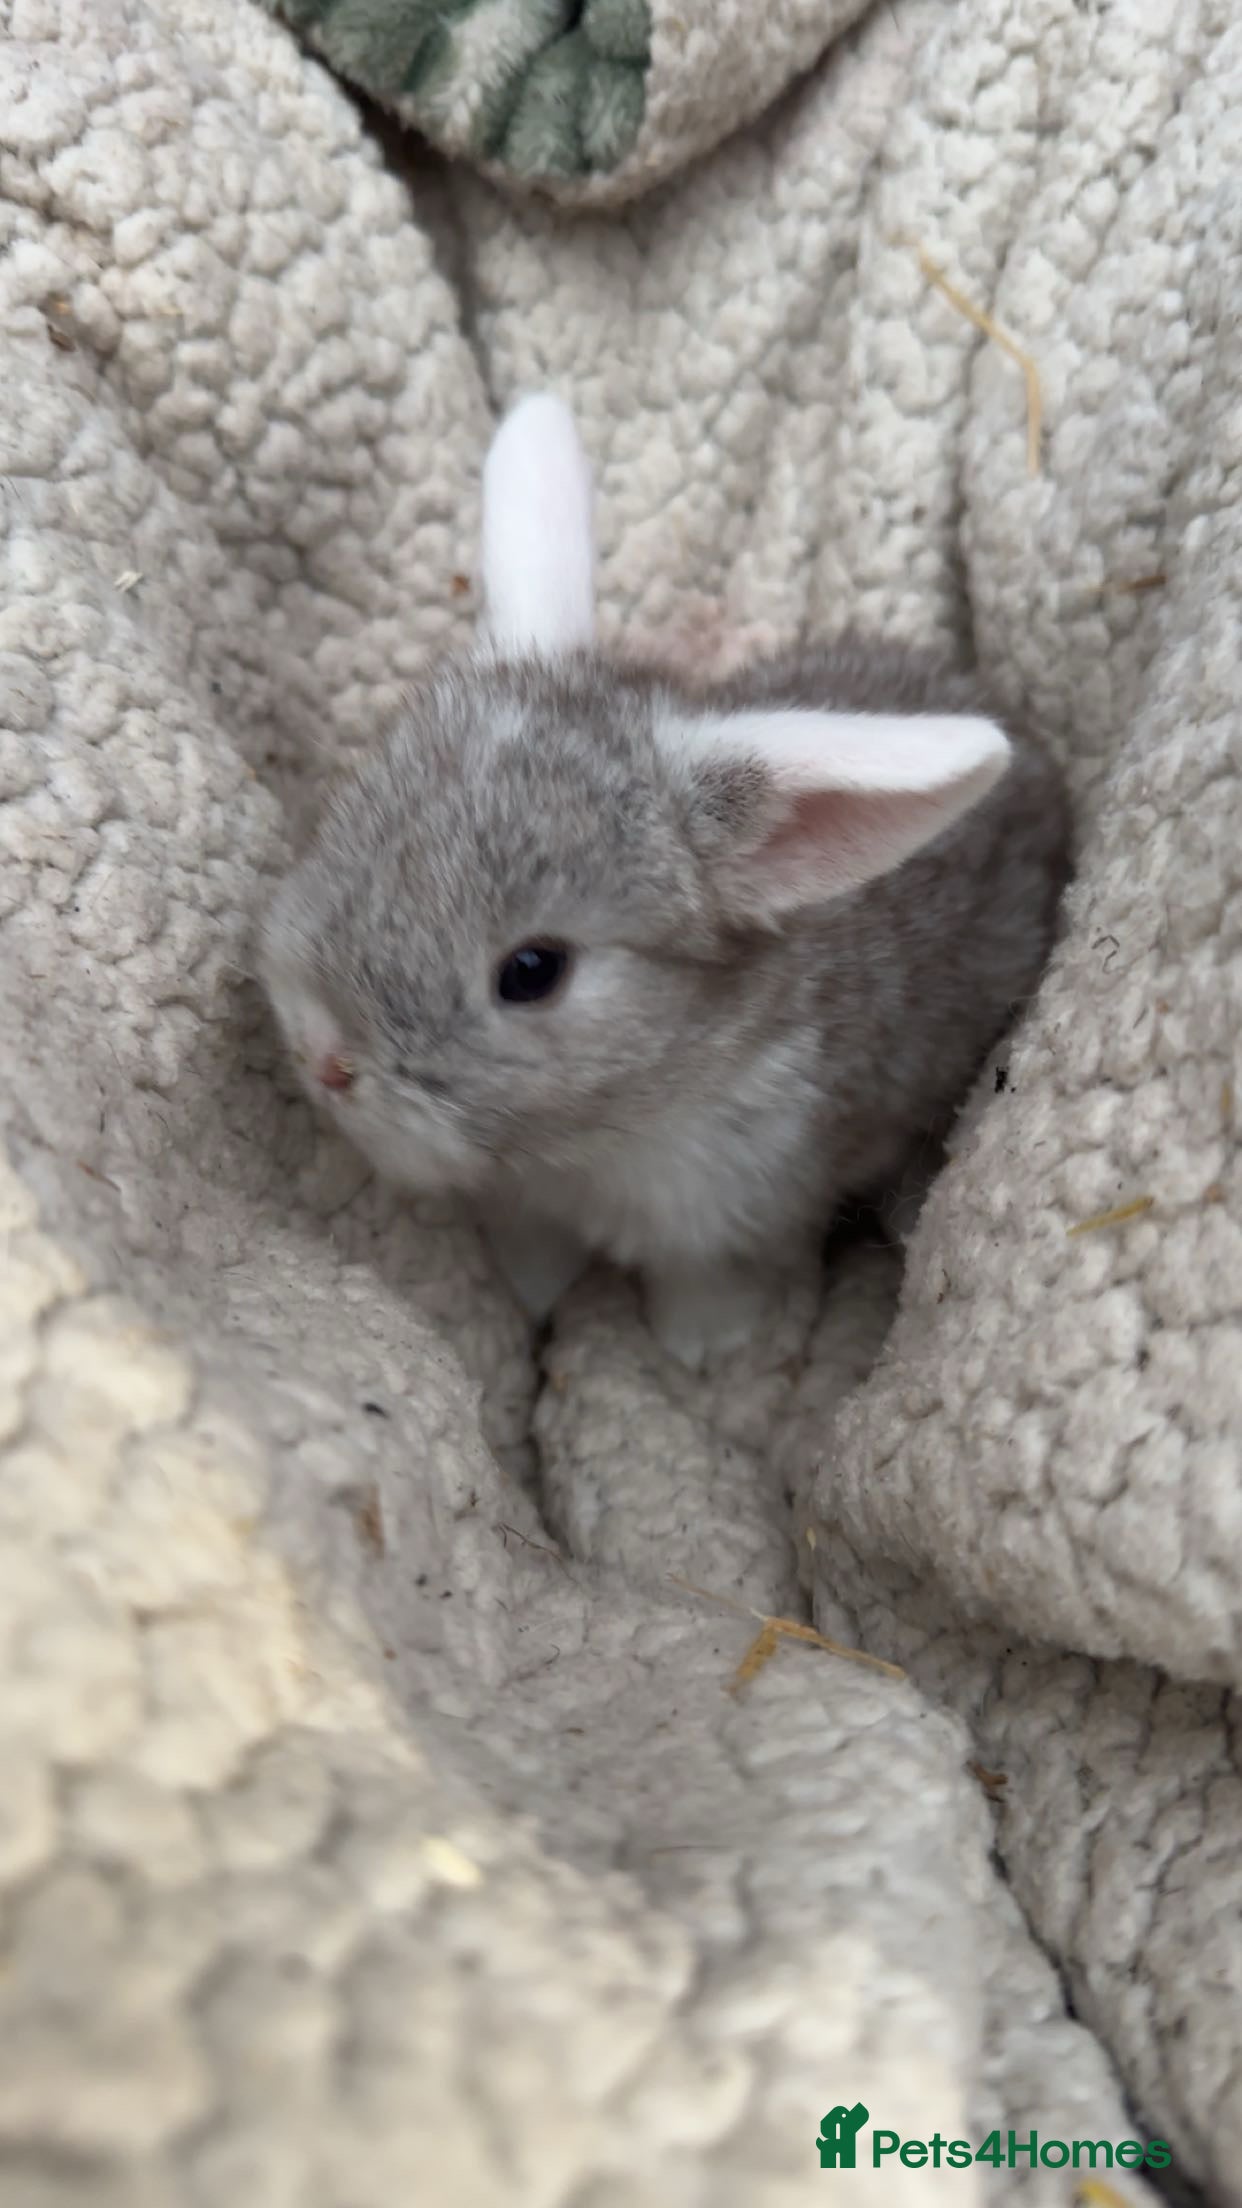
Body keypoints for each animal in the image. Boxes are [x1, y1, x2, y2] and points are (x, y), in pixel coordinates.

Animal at [260, 394, 1069, 1370]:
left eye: (532, 972)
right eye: (355, 814)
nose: (324, 1056)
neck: (600, 1131)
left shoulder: (732, 1207)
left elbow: (707, 1277)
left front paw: (704, 1348)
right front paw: (531, 1295)